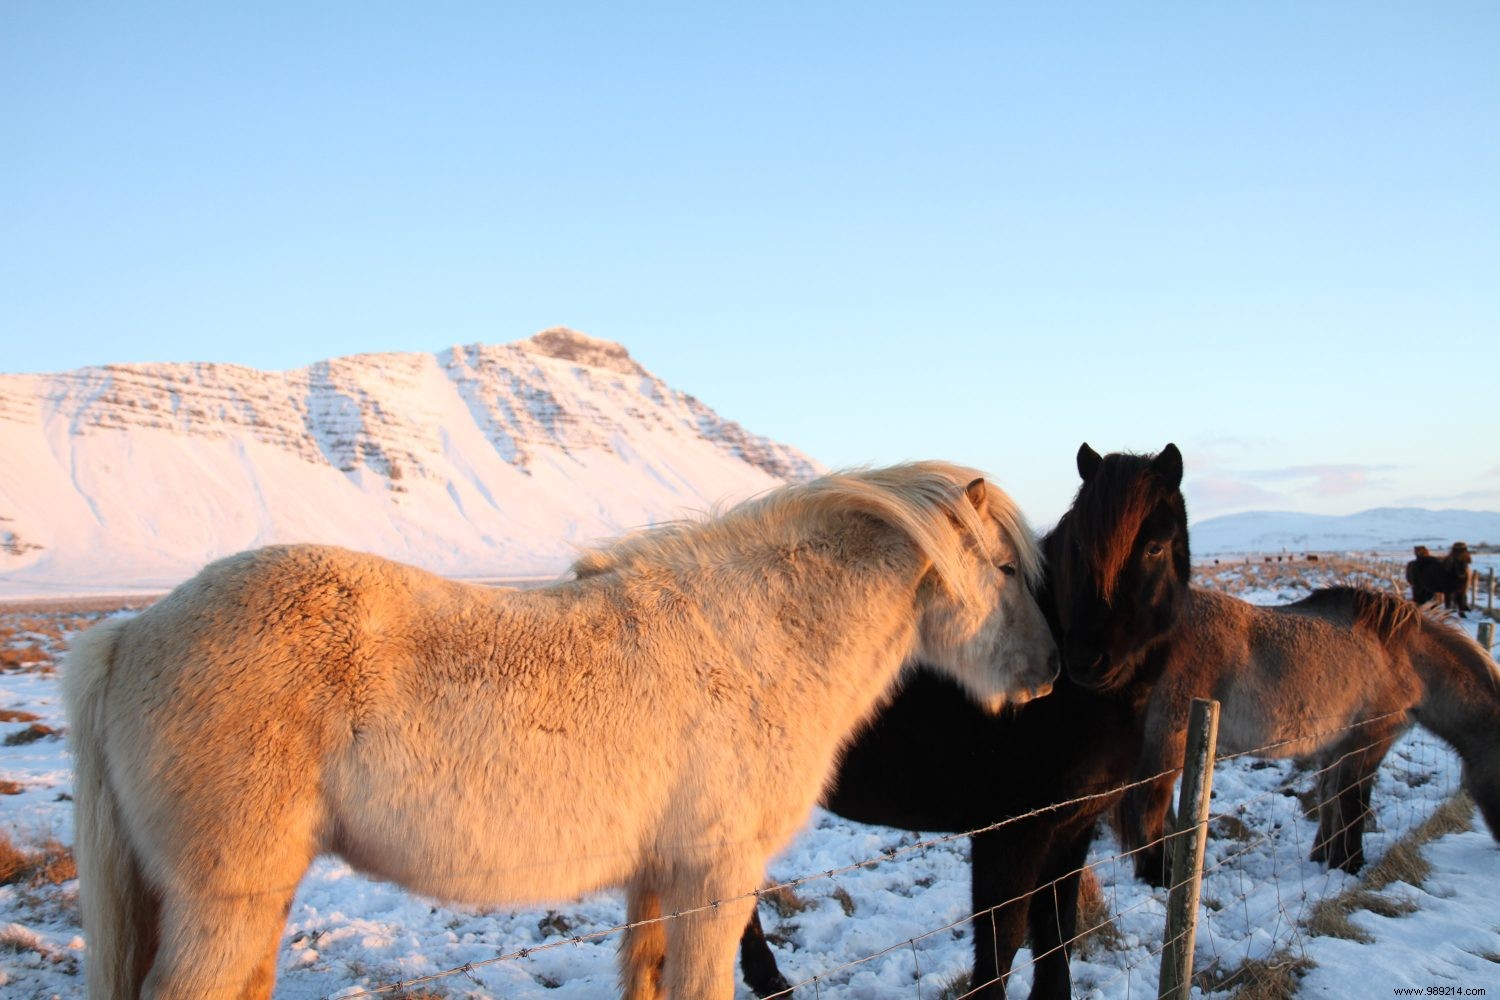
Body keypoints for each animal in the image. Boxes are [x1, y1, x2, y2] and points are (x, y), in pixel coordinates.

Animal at [741, 446, 1194, 1000]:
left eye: (1155, 547)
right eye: (1079, 550)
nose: (1085, 660)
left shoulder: (1073, 830)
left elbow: (1058, 933)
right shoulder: (1011, 835)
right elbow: (1002, 944)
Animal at [1128, 587, 1500, 881]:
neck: (1407, 658)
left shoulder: (1334, 747)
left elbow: (1330, 797)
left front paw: (1324, 856)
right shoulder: (1368, 742)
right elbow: (1354, 800)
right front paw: (1350, 864)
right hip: (1169, 742)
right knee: (1147, 807)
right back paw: (1159, 876)